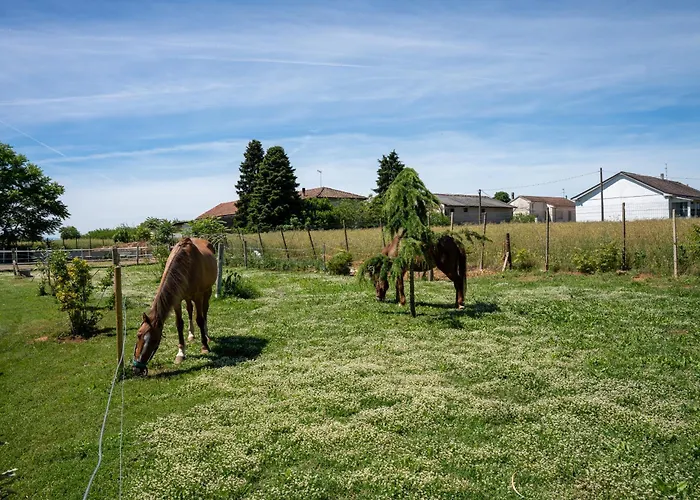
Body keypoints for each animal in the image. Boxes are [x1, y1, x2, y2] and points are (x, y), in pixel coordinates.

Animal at [132, 237, 217, 376]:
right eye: (138, 335)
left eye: (155, 340)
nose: (137, 369)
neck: (186, 262)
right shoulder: (176, 299)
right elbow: (179, 324)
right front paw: (181, 353)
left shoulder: (198, 296)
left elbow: (199, 319)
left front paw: (204, 347)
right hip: (187, 297)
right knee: (189, 310)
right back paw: (191, 335)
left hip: (207, 292)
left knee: (204, 312)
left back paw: (206, 335)